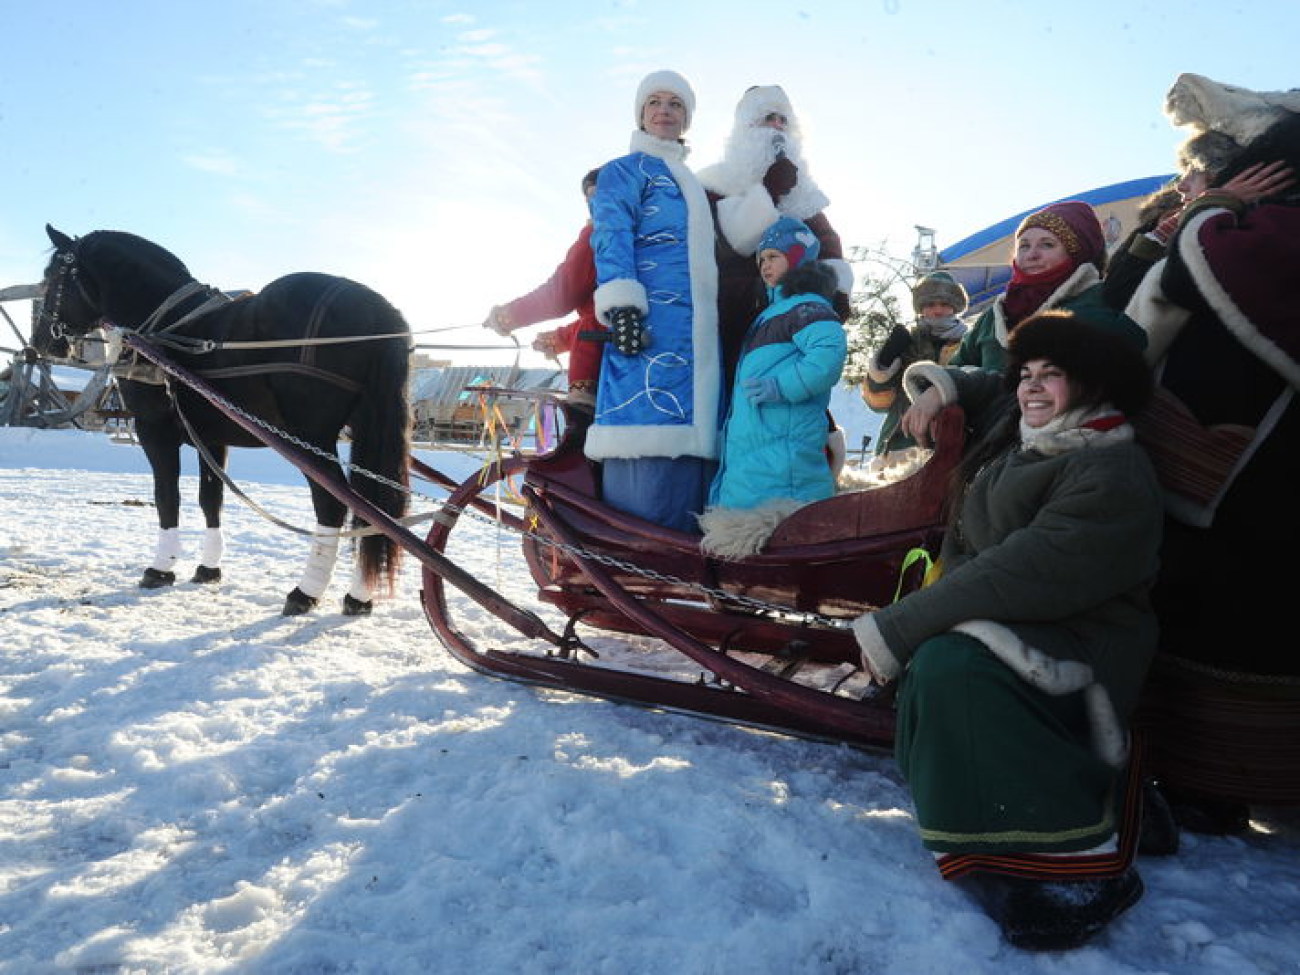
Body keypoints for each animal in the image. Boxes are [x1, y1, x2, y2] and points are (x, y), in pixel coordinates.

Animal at [38, 224, 410, 613]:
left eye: (52, 277)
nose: (41, 341)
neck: (165, 324)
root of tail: (378, 310)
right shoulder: (212, 439)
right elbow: (210, 499)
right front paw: (208, 567)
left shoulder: (154, 431)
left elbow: (167, 497)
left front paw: (161, 568)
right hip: (366, 430)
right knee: (374, 510)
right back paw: (359, 595)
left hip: (312, 439)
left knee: (334, 505)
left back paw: (306, 590)